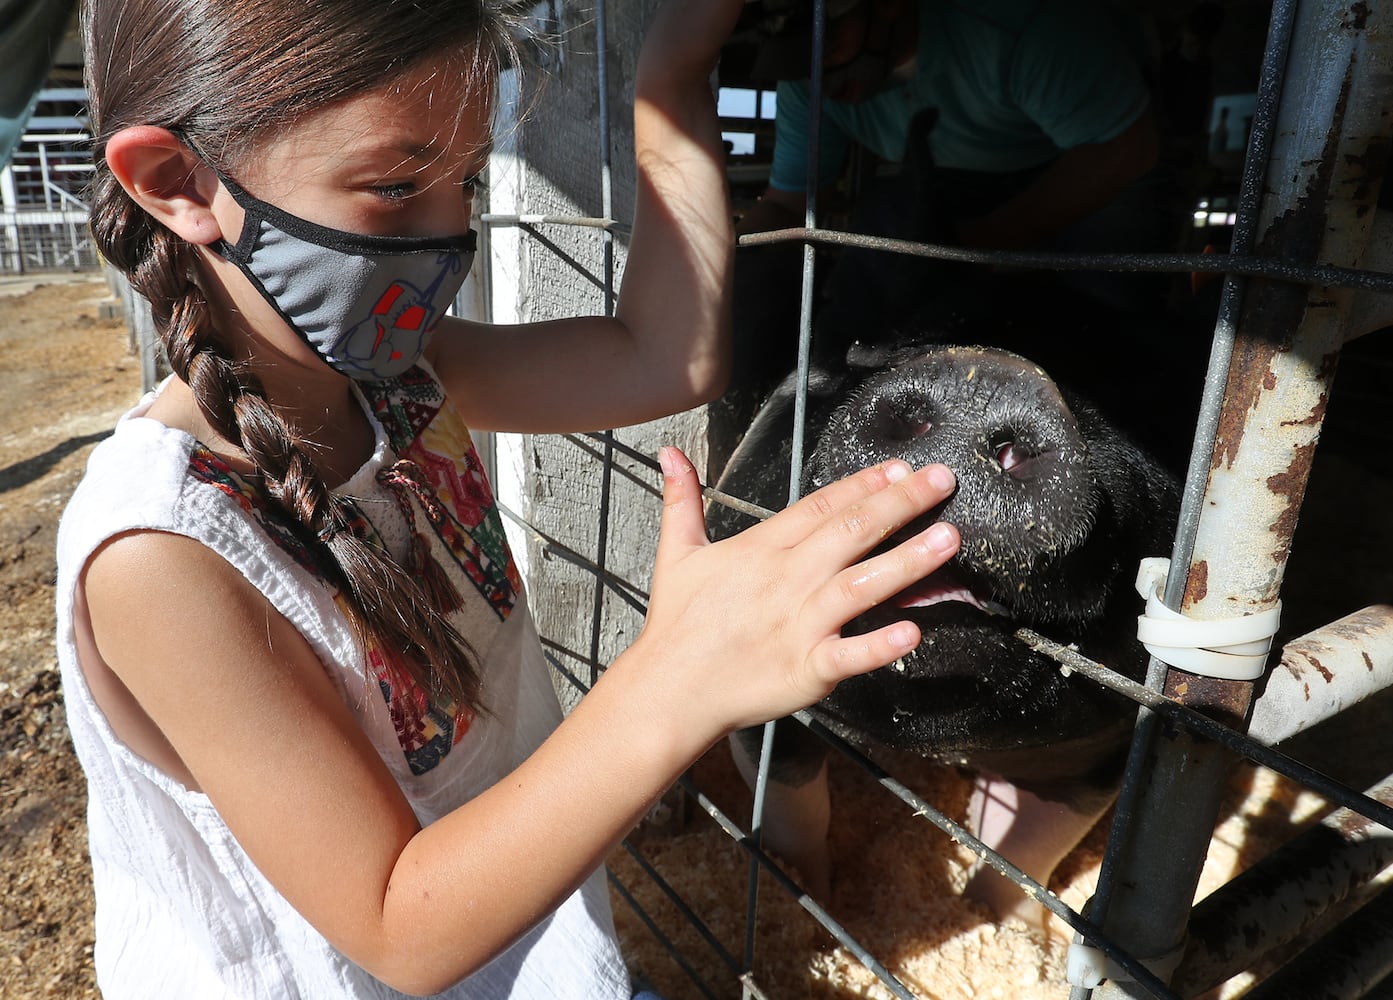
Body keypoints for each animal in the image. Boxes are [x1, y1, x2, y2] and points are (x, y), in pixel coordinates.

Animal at [713, 341, 1181, 919]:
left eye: (1132, 440)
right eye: (859, 358)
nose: (990, 380)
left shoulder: (1101, 751)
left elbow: (1026, 850)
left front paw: (999, 922)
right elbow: (792, 810)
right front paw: (809, 901)